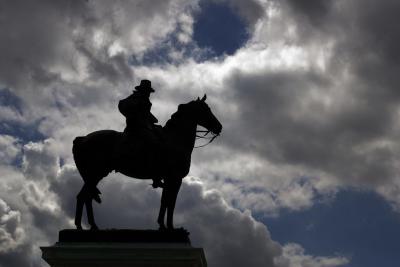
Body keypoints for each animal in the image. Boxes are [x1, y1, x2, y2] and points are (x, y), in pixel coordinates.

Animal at [72, 95, 222, 231]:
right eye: (206, 109)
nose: (219, 127)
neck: (175, 140)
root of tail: (82, 139)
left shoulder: (169, 179)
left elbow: (165, 201)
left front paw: (162, 225)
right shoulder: (175, 179)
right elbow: (170, 202)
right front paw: (170, 227)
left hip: (94, 176)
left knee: (86, 197)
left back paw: (91, 226)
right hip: (94, 175)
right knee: (83, 197)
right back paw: (82, 226)